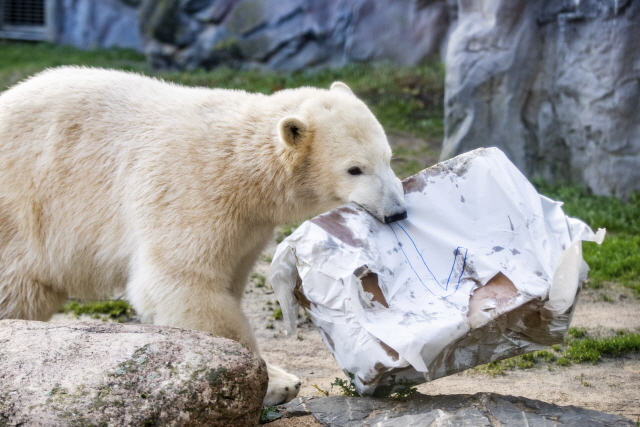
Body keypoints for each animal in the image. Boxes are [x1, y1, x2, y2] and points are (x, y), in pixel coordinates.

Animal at [0, 66, 408, 404]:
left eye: (388, 158)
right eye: (355, 169)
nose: (397, 211)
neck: (240, 165)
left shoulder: (247, 227)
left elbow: (229, 277)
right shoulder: (189, 191)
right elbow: (183, 282)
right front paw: (272, 383)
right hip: (22, 215)